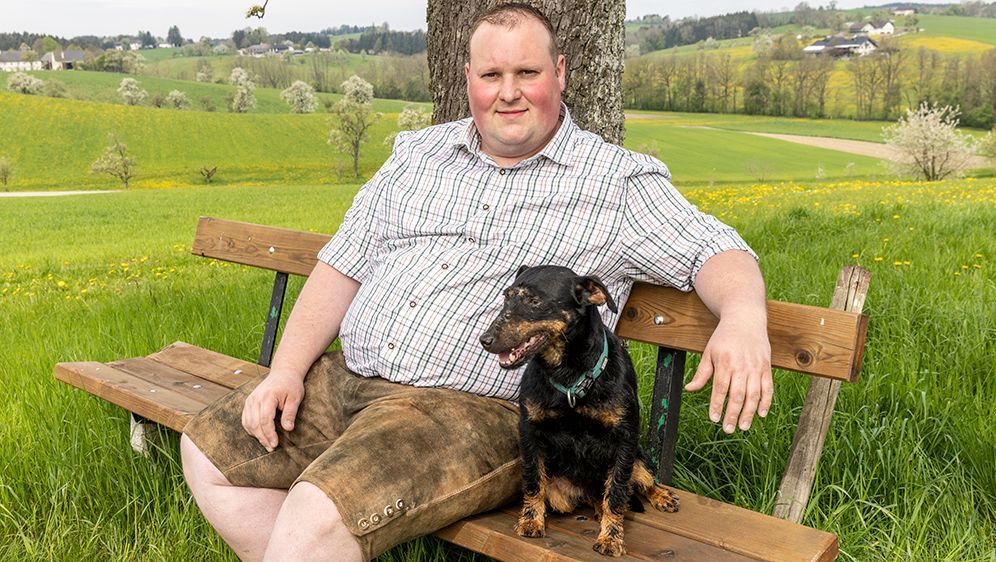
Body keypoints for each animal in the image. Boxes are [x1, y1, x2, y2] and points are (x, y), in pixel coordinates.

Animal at [480, 264, 680, 552]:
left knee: (641, 481)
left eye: (534, 301)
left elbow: (617, 492)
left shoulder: (625, 440)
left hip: (638, 457)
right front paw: (530, 521)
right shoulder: (530, 432)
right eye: (506, 297)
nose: (485, 339)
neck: (568, 375)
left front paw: (611, 537)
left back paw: (661, 495)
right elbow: (533, 482)